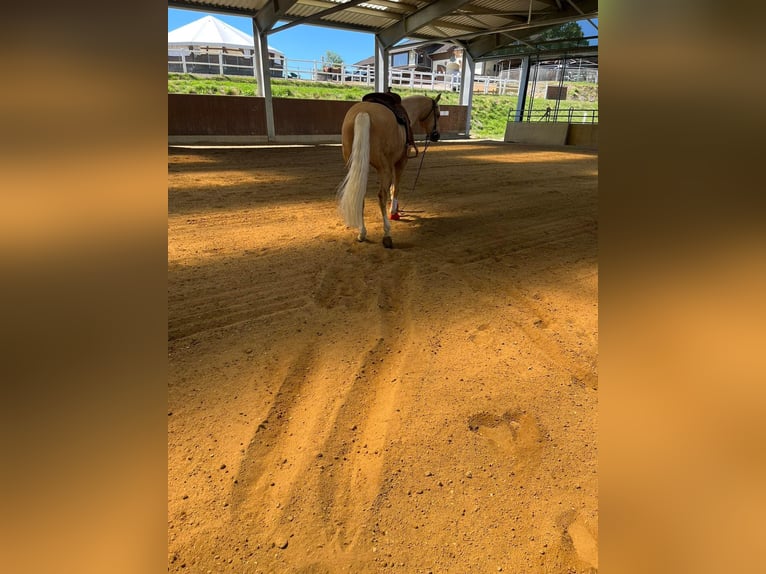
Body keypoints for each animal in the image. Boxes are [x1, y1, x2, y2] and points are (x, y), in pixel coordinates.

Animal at [338, 93, 440, 249]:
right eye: (438, 114)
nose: (436, 135)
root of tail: (364, 113)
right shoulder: (400, 162)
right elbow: (396, 188)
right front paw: (394, 213)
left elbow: (392, 188)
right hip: (383, 168)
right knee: (381, 196)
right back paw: (387, 234)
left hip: (357, 166)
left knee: (360, 194)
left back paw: (362, 232)